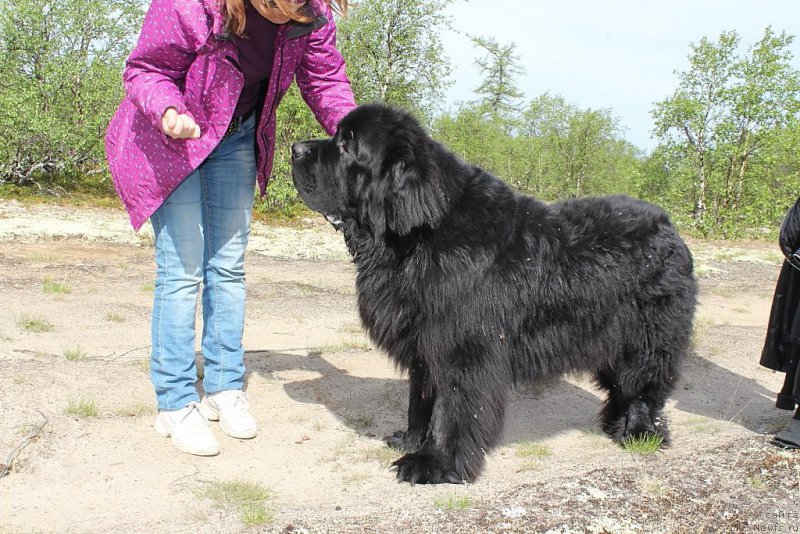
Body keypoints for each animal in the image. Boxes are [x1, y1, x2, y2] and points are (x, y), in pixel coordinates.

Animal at [290, 103, 696, 486]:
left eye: (347, 145)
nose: (294, 148)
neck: (418, 237)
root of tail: (670, 226)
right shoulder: (425, 344)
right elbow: (420, 400)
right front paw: (411, 440)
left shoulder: (462, 348)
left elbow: (452, 408)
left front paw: (436, 465)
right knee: (622, 387)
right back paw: (614, 424)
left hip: (646, 338)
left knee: (642, 386)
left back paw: (639, 433)